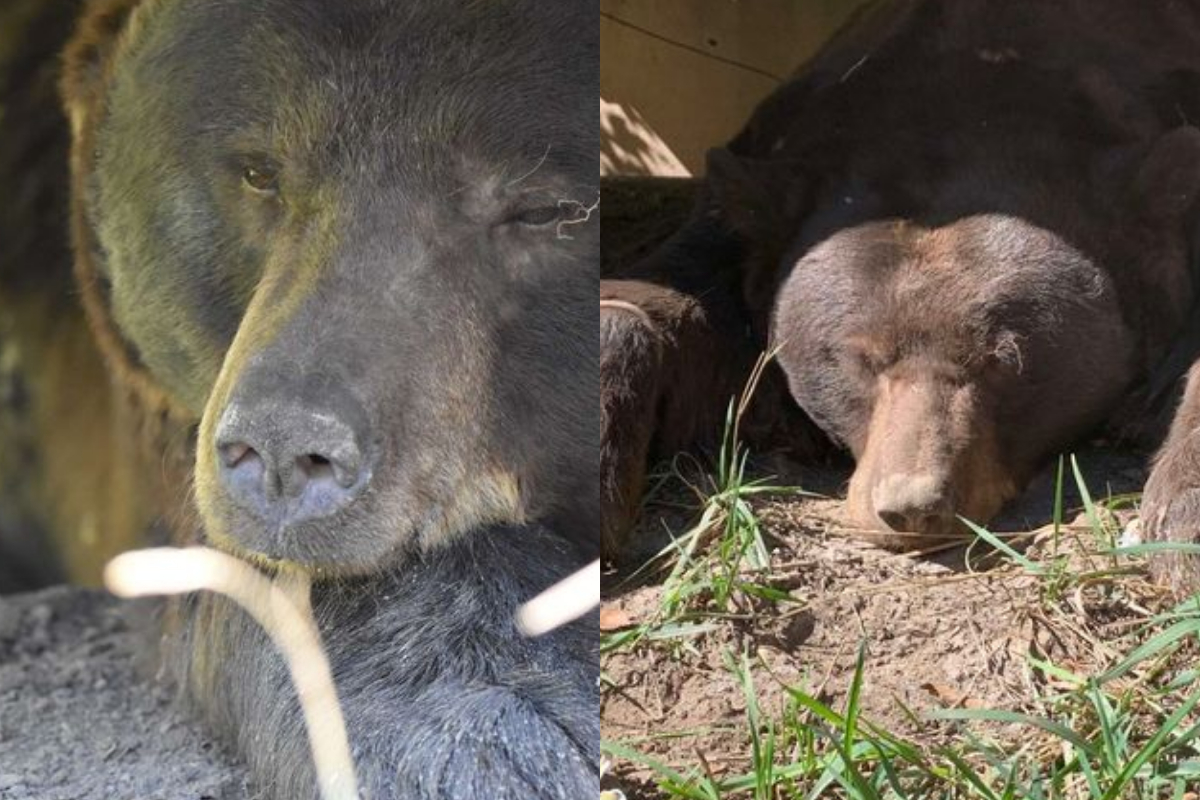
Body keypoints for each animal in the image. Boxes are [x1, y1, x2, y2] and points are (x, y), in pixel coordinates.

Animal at [600, 0, 1200, 586]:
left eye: (1006, 359)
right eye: (858, 360)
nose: (913, 507)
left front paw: (1180, 521)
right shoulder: (756, 200)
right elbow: (664, 299)